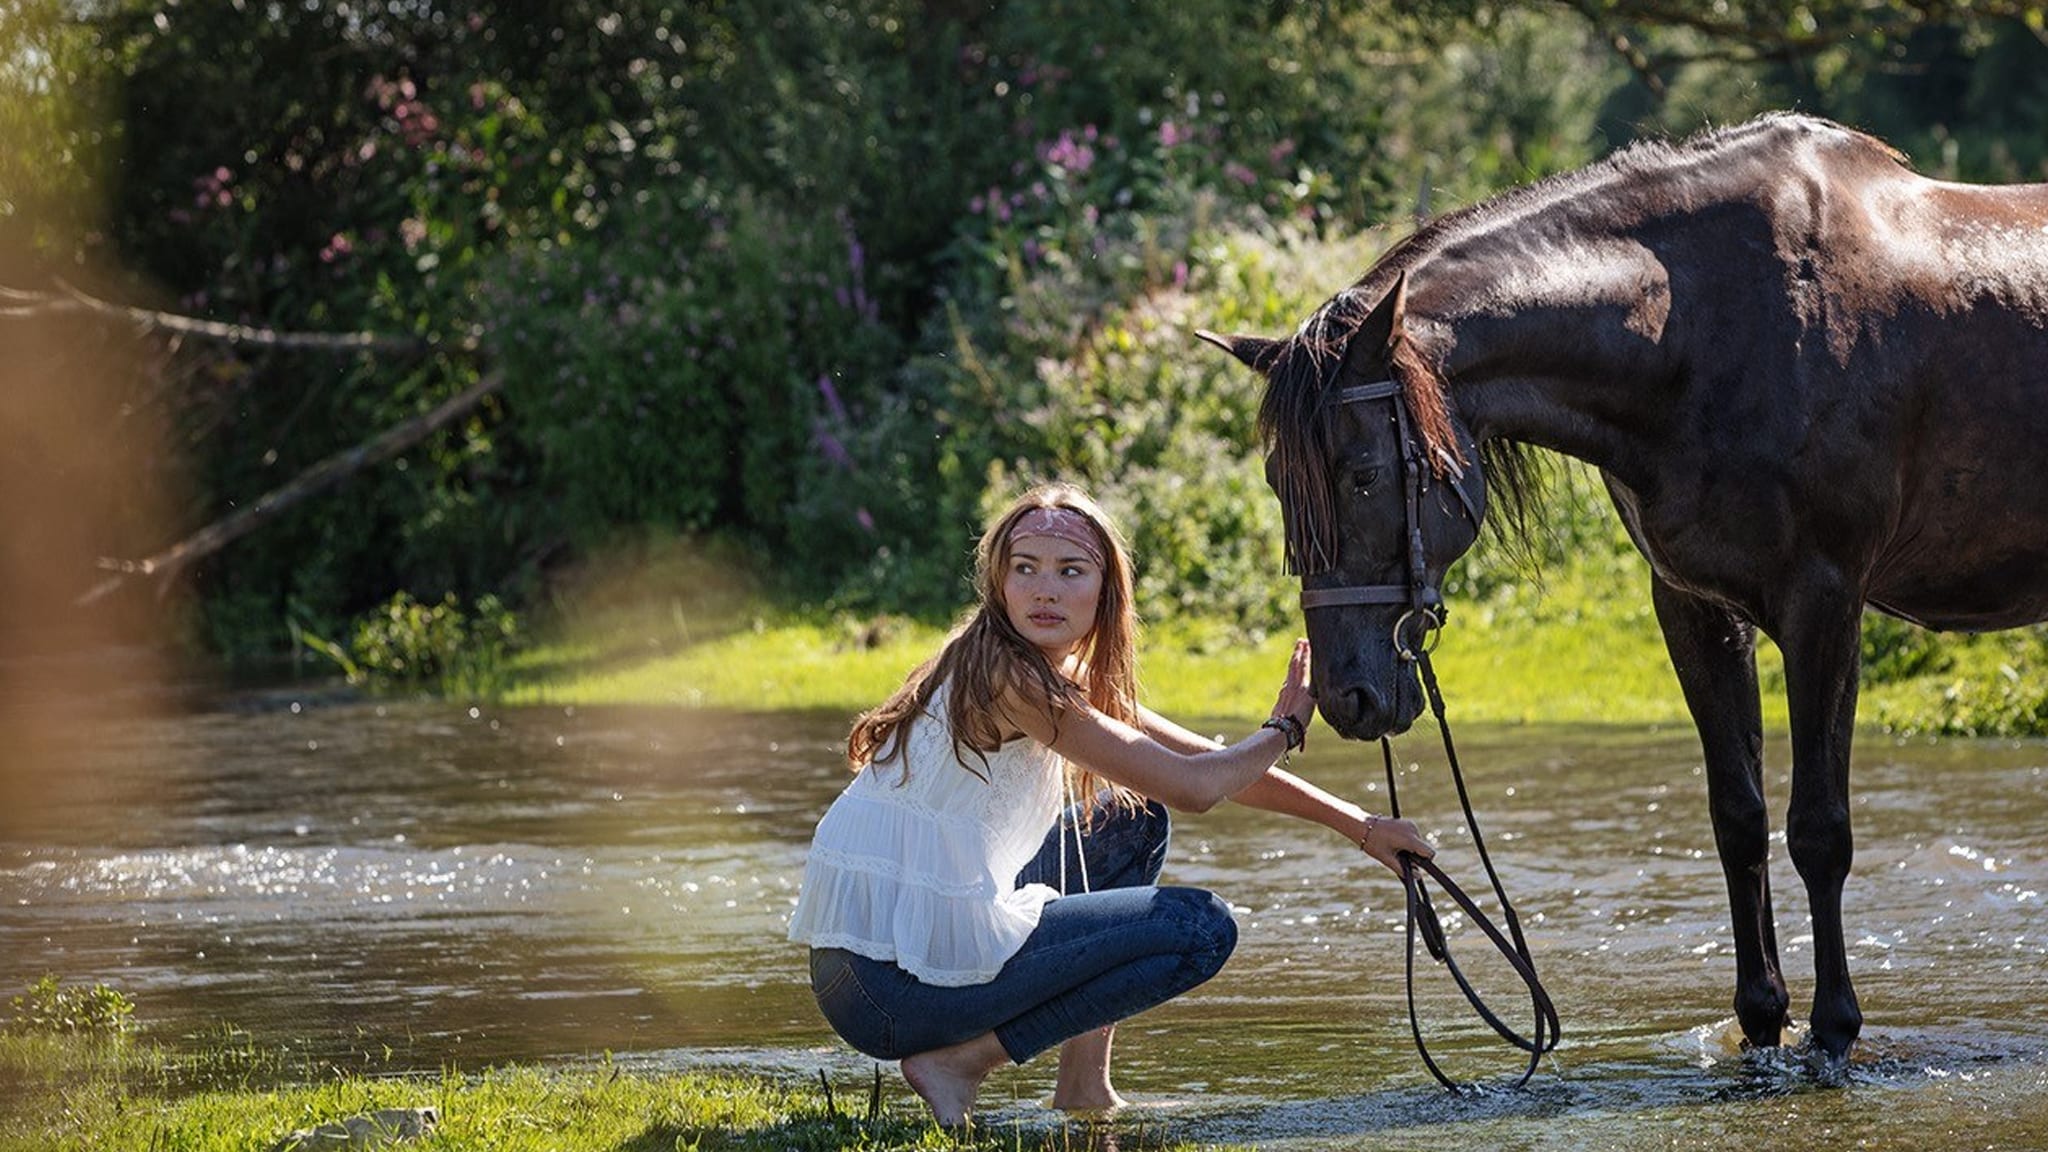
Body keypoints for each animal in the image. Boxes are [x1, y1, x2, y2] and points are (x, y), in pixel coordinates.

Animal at [1196, 112, 2048, 1065]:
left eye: (1364, 476)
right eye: (1279, 482)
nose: (1349, 698)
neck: (1707, 331)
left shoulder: (1824, 605)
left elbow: (1819, 830)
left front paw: (1832, 1030)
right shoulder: (1694, 608)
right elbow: (1738, 819)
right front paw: (1761, 1021)